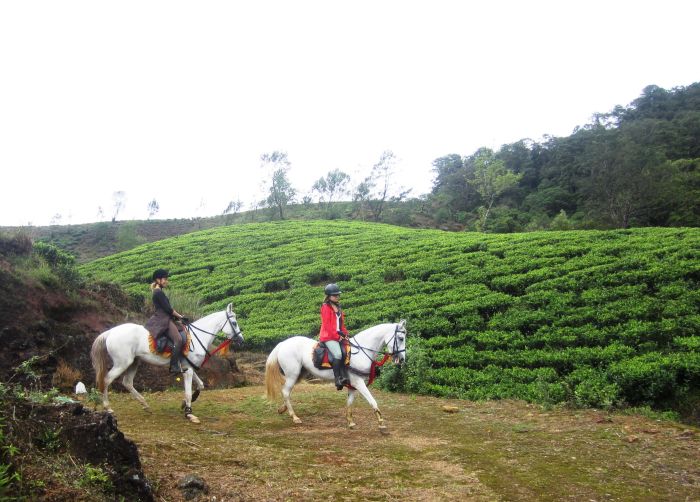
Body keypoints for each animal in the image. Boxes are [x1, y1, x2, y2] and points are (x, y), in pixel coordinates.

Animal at [91, 302, 243, 424]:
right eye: (234, 323)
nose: (241, 339)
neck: (197, 336)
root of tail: (110, 332)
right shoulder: (188, 370)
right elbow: (188, 392)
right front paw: (189, 413)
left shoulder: (189, 367)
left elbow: (200, 385)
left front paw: (185, 404)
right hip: (122, 363)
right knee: (106, 380)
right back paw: (108, 408)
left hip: (133, 362)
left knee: (127, 382)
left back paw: (145, 405)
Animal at [262, 322, 408, 432]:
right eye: (401, 338)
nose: (402, 359)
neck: (360, 351)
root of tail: (283, 343)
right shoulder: (359, 382)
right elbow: (373, 401)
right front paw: (381, 423)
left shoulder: (353, 385)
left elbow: (349, 403)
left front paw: (350, 422)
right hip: (292, 374)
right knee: (286, 391)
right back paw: (294, 417)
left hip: (298, 374)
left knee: (286, 392)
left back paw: (283, 409)